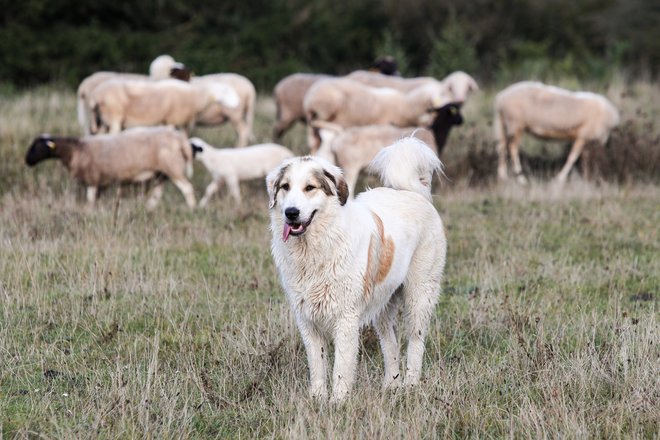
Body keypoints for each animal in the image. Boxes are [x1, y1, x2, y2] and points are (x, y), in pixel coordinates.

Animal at [23, 124, 199, 209]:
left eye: (36, 147)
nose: (27, 161)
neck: (76, 149)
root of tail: (181, 140)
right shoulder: (100, 183)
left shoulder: (93, 179)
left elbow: (90, 200)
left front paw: (89, 212)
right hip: (160, 173)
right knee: (157, 194)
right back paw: (149, 208)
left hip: (173, 168)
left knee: (188, 188)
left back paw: (192, 208)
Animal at [88, 78, 240, 135]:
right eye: (226, 91)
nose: (237, 104)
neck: (195, 96)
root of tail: (96, 94)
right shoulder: (173, 121)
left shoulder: (175, 123)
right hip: (113, 117)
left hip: (102, 120)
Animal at [266, 138, 446, 402]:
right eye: (285, 187)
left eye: (310, 188)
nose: (291, 212)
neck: (315, 250)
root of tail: (411, 191)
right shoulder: (307, 320)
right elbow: (317, 364)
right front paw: (317, 399)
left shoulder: (345, 319)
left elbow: (340, 367)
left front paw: (337, 402)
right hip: (383, 304)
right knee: (390, 344)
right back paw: (392, 385)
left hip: (419, 297)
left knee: (415, 342)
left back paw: (411, 385)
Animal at [302, 79, 452, 153]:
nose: (430, 125)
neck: (406, 108)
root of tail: (310, 98)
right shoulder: (383, 125)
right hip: (326, 109)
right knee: (318, 123)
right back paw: (338, 128)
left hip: (315, 118)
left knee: (313, 141)